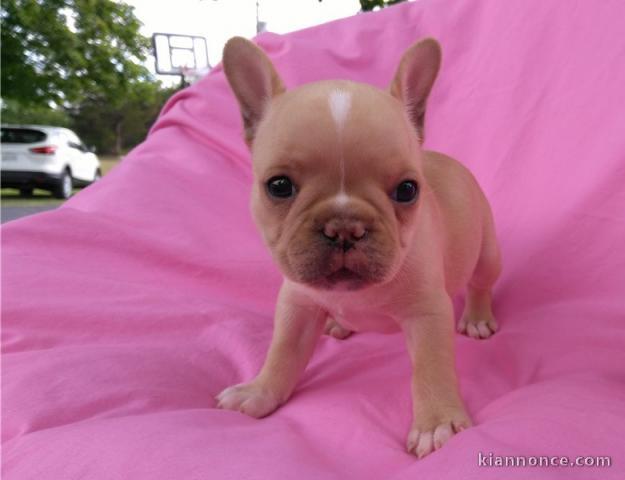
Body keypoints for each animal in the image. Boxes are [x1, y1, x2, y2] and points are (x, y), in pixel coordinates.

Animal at [217, 34, 500, 458]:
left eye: (407, 190)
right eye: (278, 186)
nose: (344, 227)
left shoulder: (428, 312)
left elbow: (430, 368)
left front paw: (436, 422)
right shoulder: (297, 305)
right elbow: (282, 352)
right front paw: (260, 390)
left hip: (486, 251)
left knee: (481, 282)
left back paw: (478, 317)